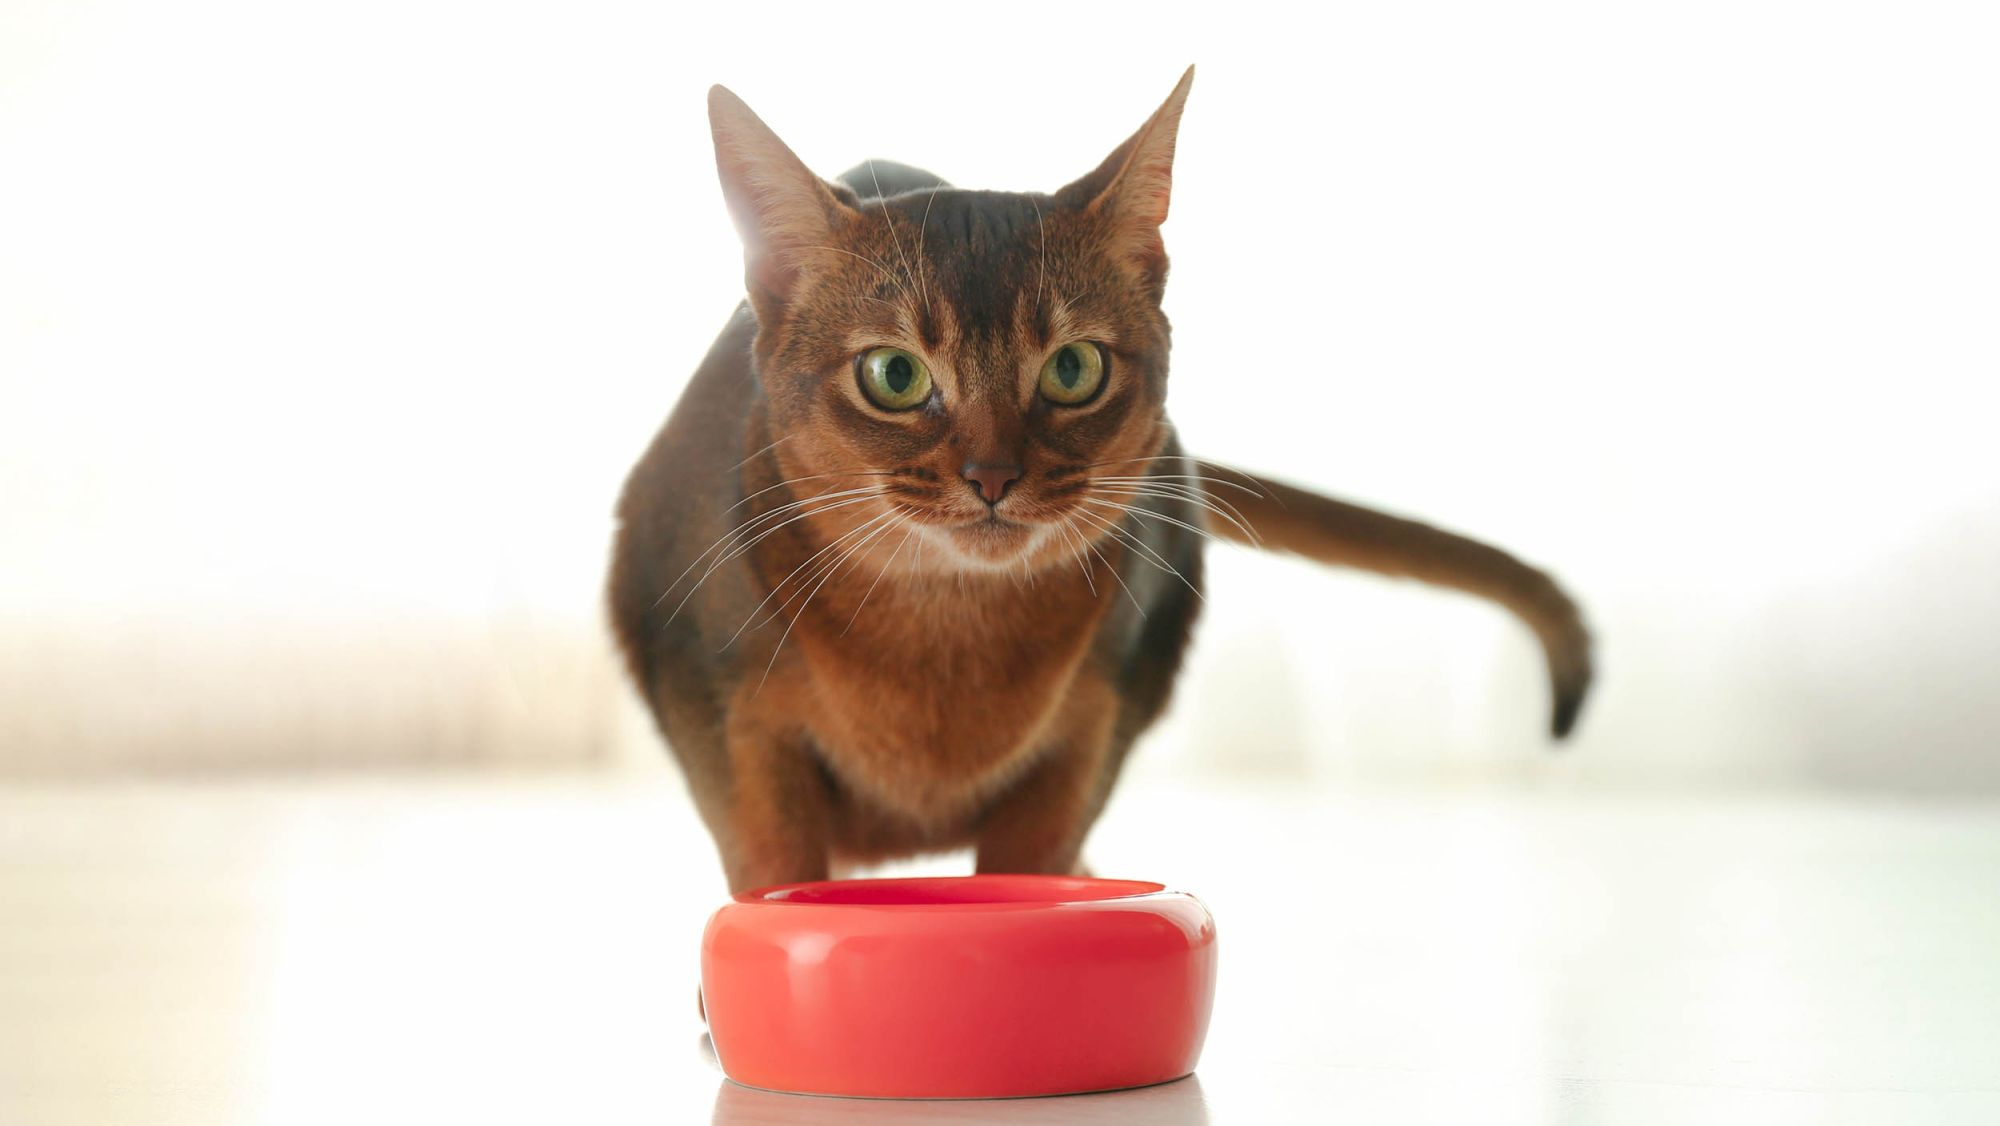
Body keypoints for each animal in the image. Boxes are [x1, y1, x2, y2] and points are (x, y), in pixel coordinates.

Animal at [600, 68, 1584, 900]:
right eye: (894, 376)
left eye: (1073, 369)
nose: (993, 475)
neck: (944, 635)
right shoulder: (726, 720)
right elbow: (772, 874)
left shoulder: (1095, 725)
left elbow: (1029, 867)